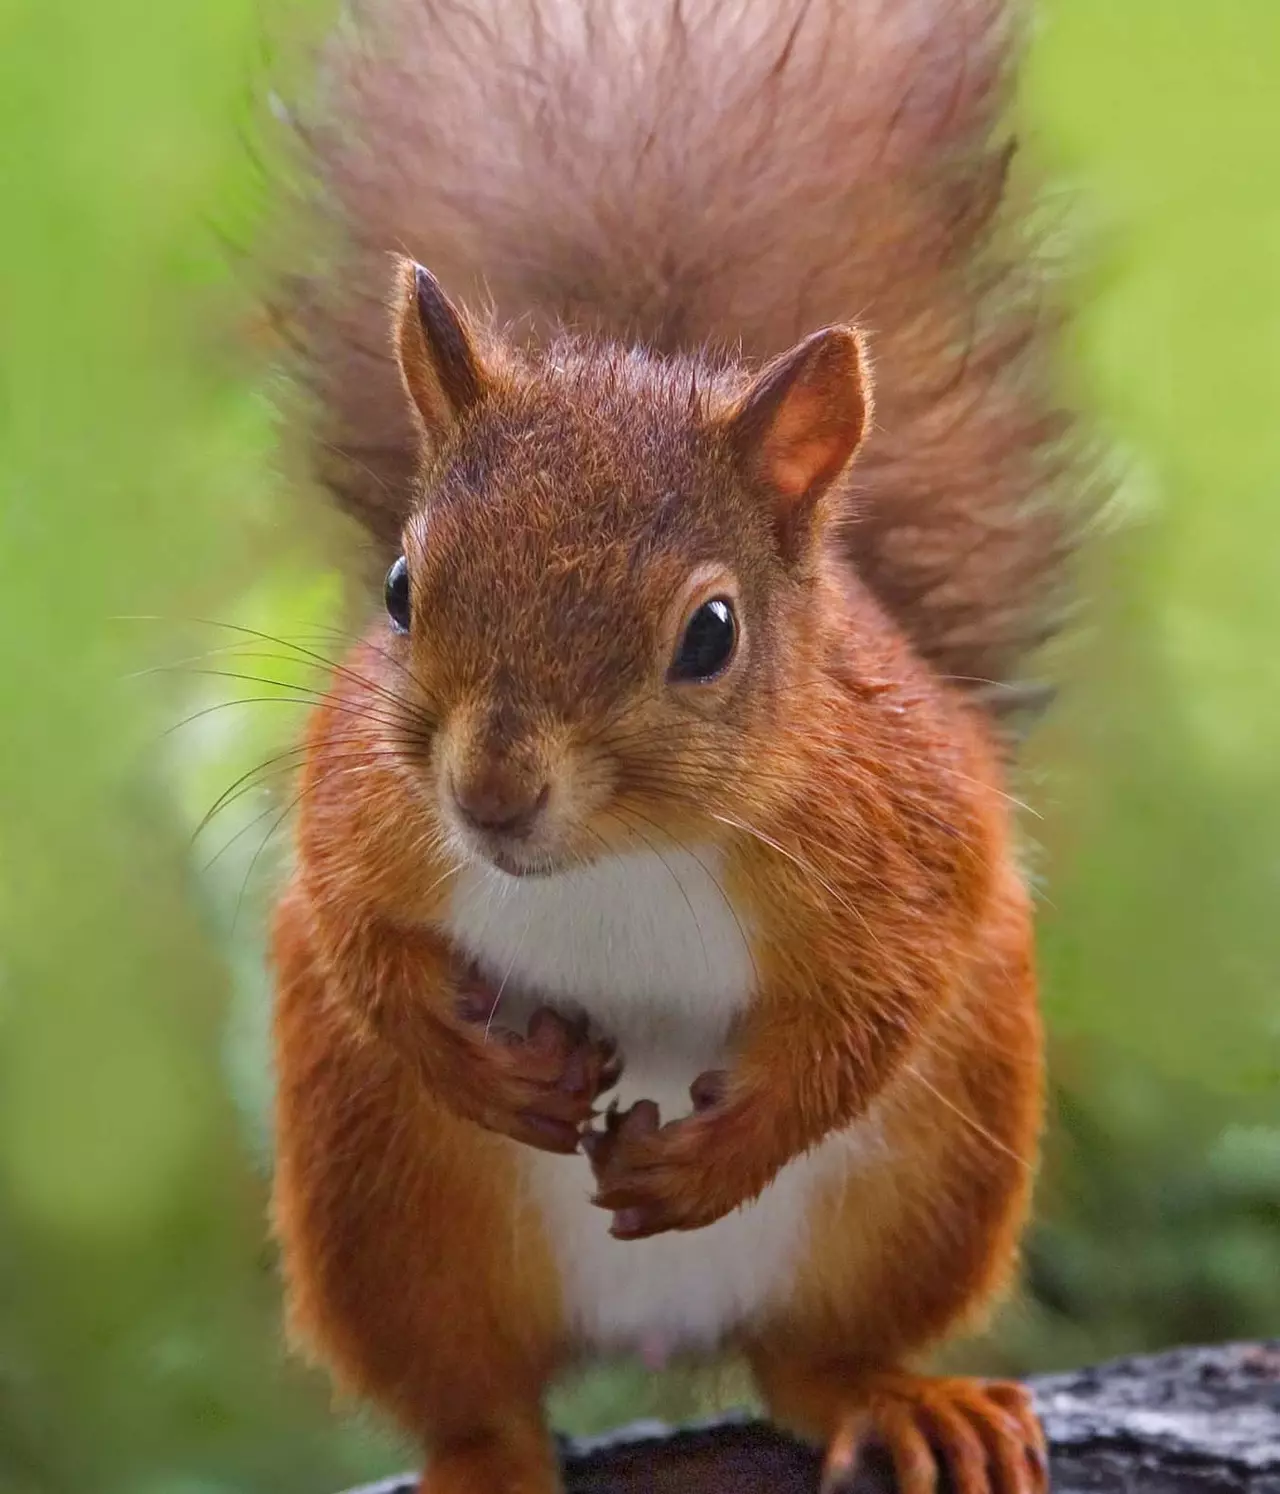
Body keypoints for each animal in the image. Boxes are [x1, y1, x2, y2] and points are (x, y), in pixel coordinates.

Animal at [268, 2, 1088, 1492]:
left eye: (711, 632)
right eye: (401, 589)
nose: (490, 795)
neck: (623, 852)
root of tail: (653, 1327)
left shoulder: (914, 828)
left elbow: (874, 1012)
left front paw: (717, 1155)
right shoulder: (359, 805)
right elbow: (358, 937)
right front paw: (481, 1061)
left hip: (936, 1177)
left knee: (811, 1357)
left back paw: (900, 1399)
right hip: (384, 1210)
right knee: (470, 1389)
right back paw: (483, 1452)